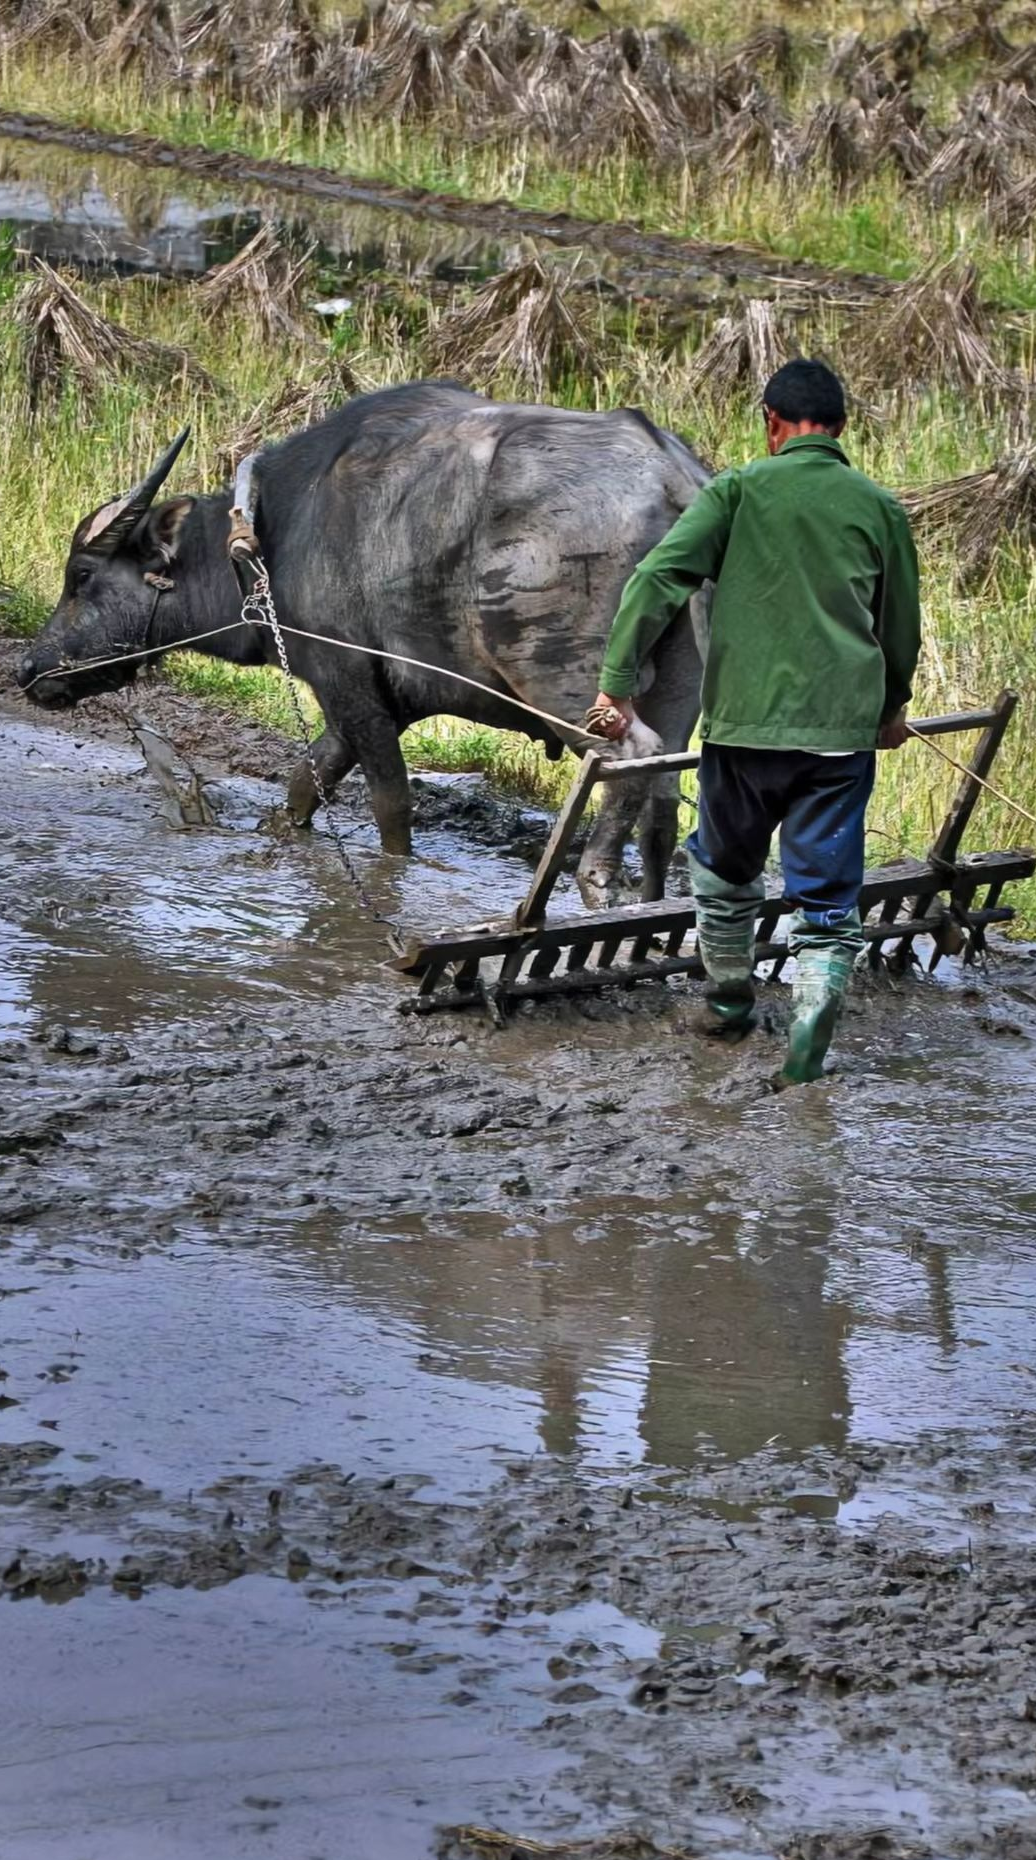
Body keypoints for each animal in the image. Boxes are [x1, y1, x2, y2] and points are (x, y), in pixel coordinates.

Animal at [16, 379, 710, 900]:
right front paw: (276, 832)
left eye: (82, 576)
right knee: (664, 802)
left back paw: (596, 879)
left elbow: (390, 803)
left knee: (629, 761)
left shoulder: (347, 677)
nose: (29, 670)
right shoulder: (387, 699)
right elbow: (308, 778)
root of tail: (672, 475)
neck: (273, 535)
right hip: (680, 686)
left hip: (567, 679)